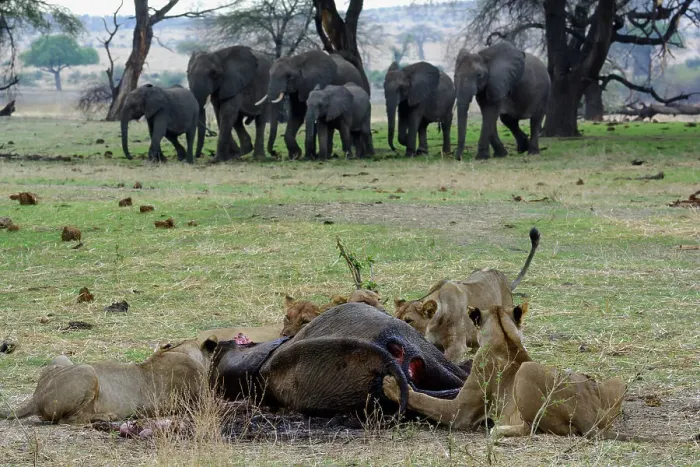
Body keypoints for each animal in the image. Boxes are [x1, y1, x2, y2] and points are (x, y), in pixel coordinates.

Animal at [0, 338, 217, 424]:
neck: (182, 350)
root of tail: (35, 397)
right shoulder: (201, 402)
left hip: (62, 359)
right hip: (88, 371)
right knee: (69, 419)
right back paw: (106, 417)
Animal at [383, 304, 627, 438]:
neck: (505, 338)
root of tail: (590, 417)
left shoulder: (460, 413)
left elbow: (425, 400)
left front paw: (393, 385)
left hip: (526, 371)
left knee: (531, 427)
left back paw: (500, 429)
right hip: (617, 381)